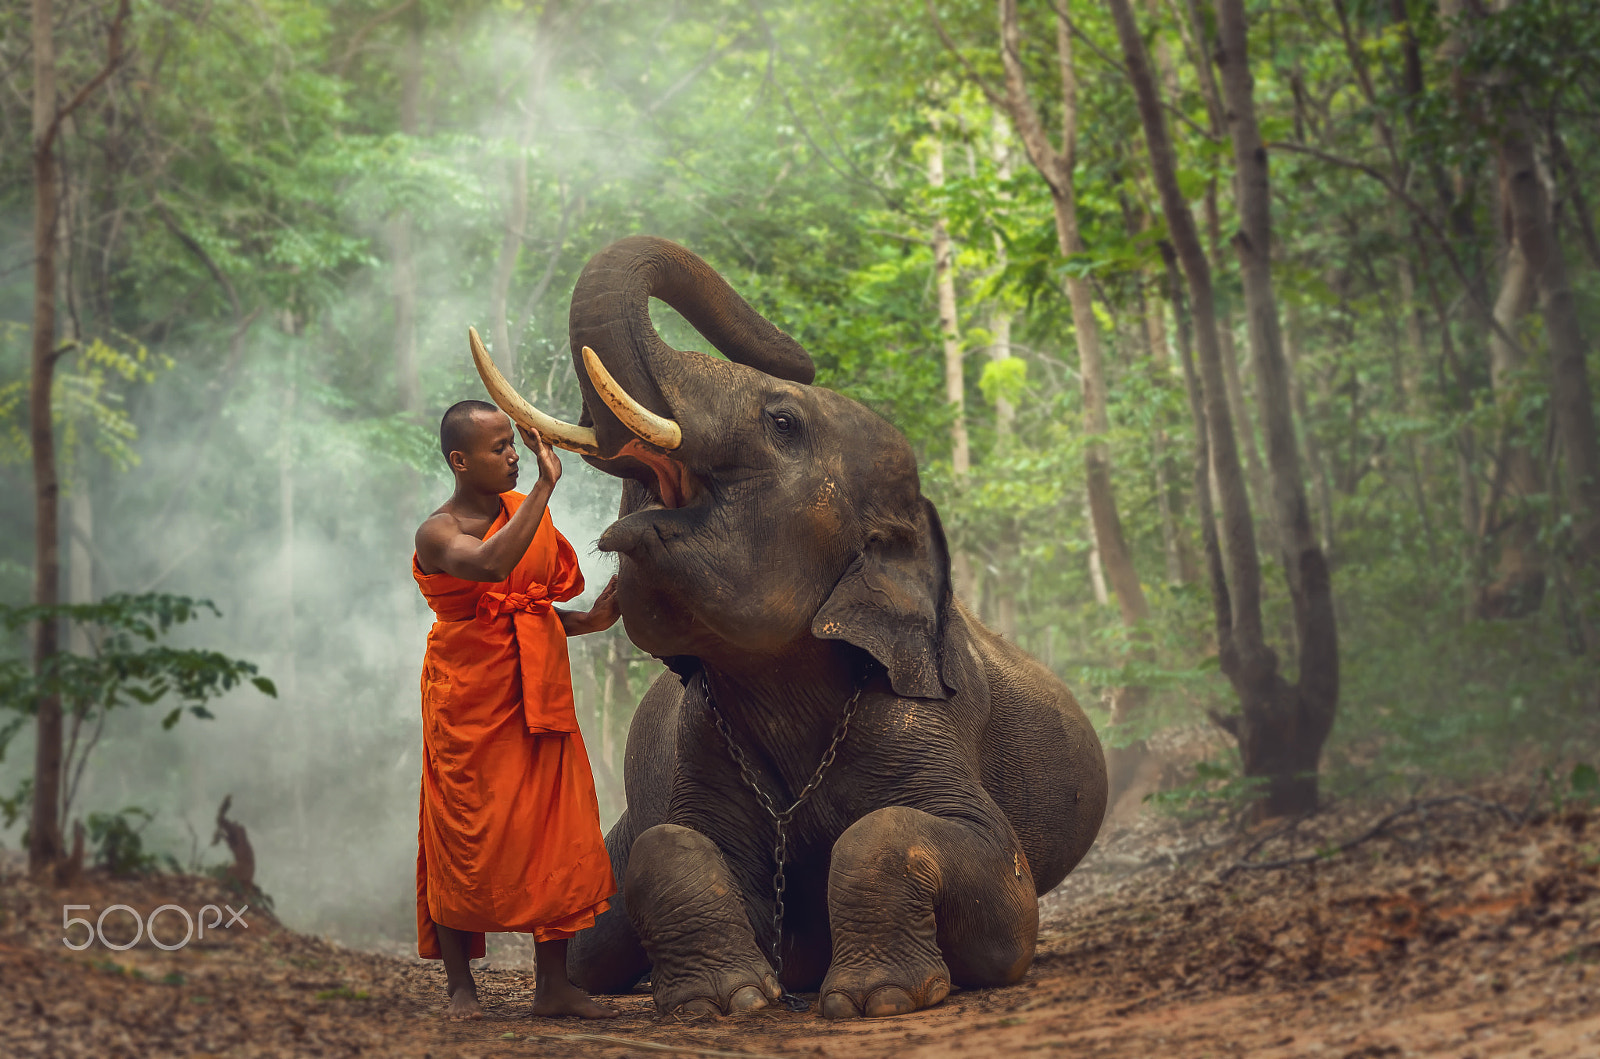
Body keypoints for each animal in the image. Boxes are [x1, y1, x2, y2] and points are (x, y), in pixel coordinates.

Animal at [469, 235, 1107, 1020]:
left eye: (782, 421)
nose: (799, 356)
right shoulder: (702, 738)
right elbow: (669, 844)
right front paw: (723, 1001)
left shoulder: (930, 719)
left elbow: (974, 878)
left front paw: (877, 998)